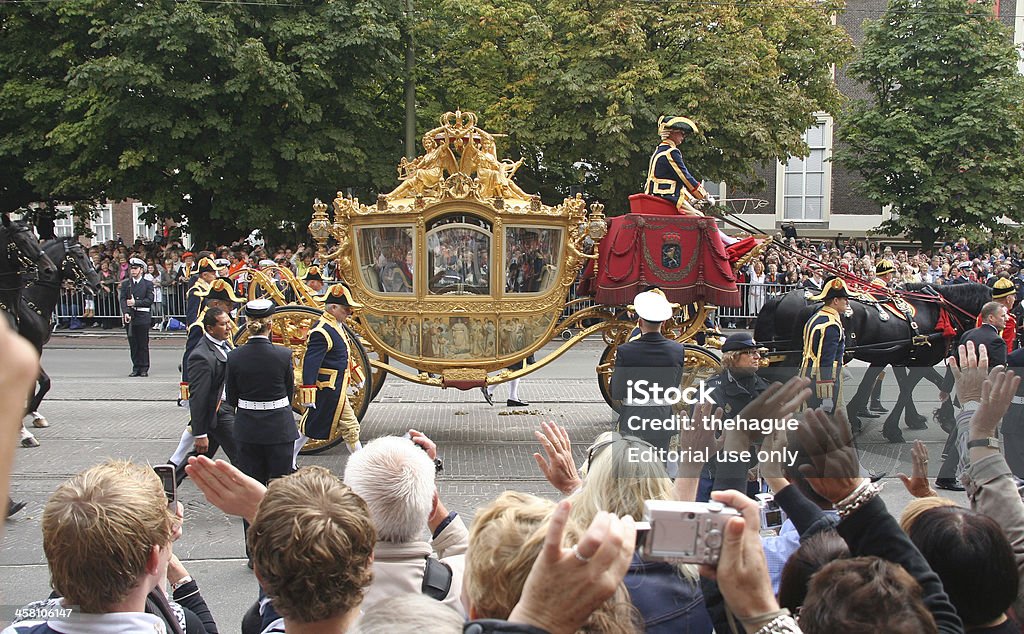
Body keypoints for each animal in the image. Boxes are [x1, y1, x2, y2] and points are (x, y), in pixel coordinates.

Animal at [17, 235, 99, 438]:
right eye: (79, 255)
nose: (96, 283)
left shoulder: (35, 349)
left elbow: (40, 382)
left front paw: (34, 414)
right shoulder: (31, 346)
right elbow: (43, 382)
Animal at [753, 282, 991, 442]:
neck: (938, 310)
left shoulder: (893, 356)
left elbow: (882, 383)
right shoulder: (918, 359)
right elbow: (913, 387)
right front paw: (897, 428)